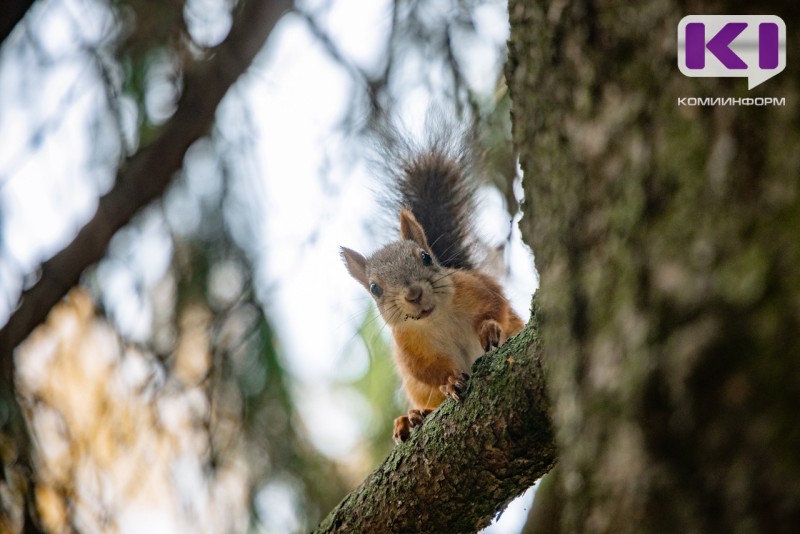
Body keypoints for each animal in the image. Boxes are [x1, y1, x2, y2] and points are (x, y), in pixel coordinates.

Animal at [340, 129, 520, 444]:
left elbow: (497, 308)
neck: (437, 318)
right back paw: (412, 418)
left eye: (425, 257)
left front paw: (489, 328)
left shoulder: (477, 288)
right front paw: (449, 382)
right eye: (375, 288)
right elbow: (428, 371)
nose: (414, 294)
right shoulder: (409, 346)